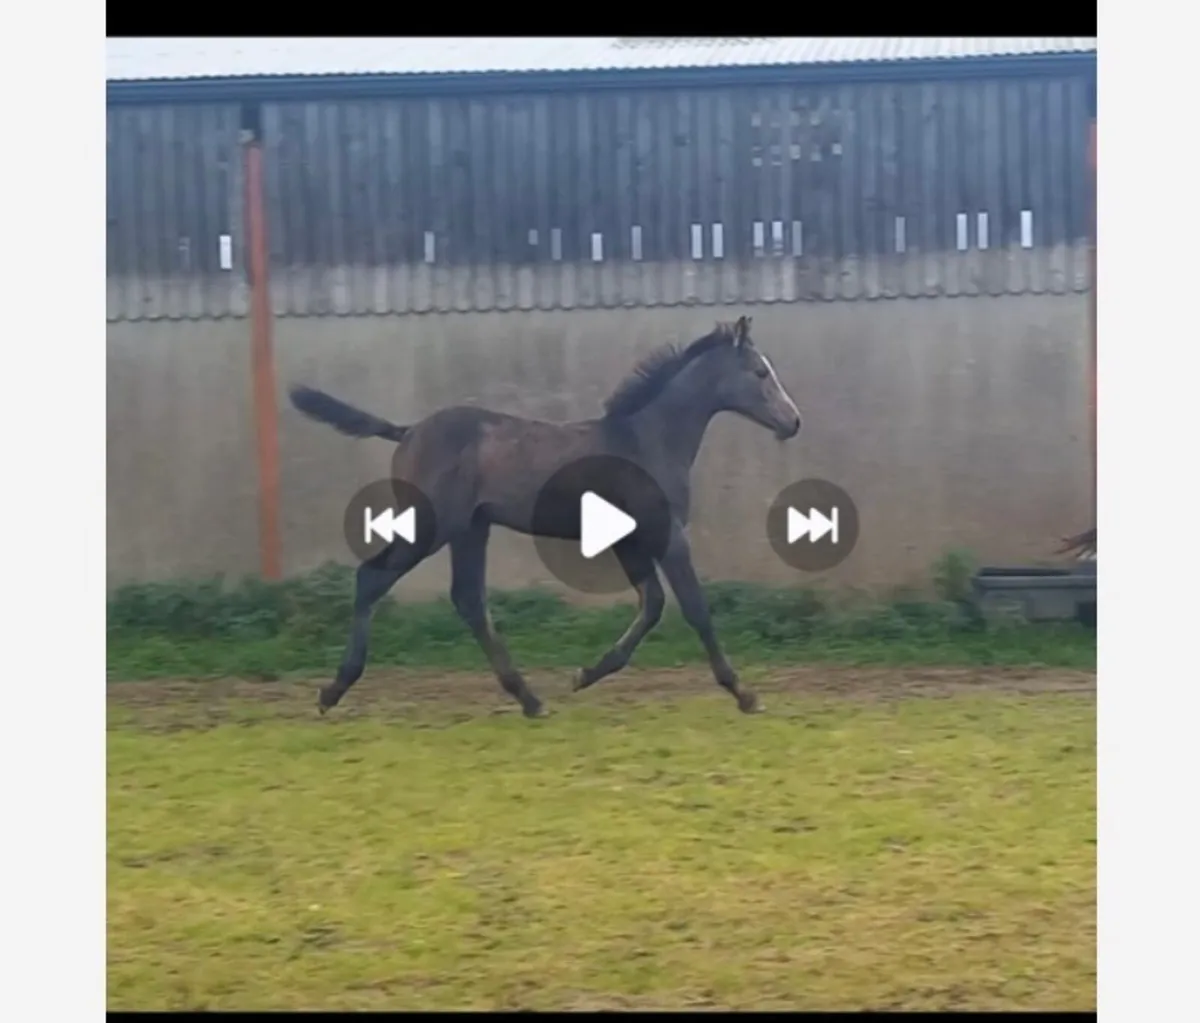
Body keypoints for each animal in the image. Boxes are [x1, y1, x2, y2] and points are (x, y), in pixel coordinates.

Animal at [289, 315, 802, 718]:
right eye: (760, 371)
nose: (793, 421)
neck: (645, 440)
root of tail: (409, 431)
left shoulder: (631, 540)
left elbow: (652, 605)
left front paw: (584, 675)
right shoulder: (666, 534)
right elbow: (694, 608)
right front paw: (744, 693)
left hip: (470, 529)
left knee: (467, 599)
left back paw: (530, 699)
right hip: (430, 526)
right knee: (372, 578)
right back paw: (333, 691)